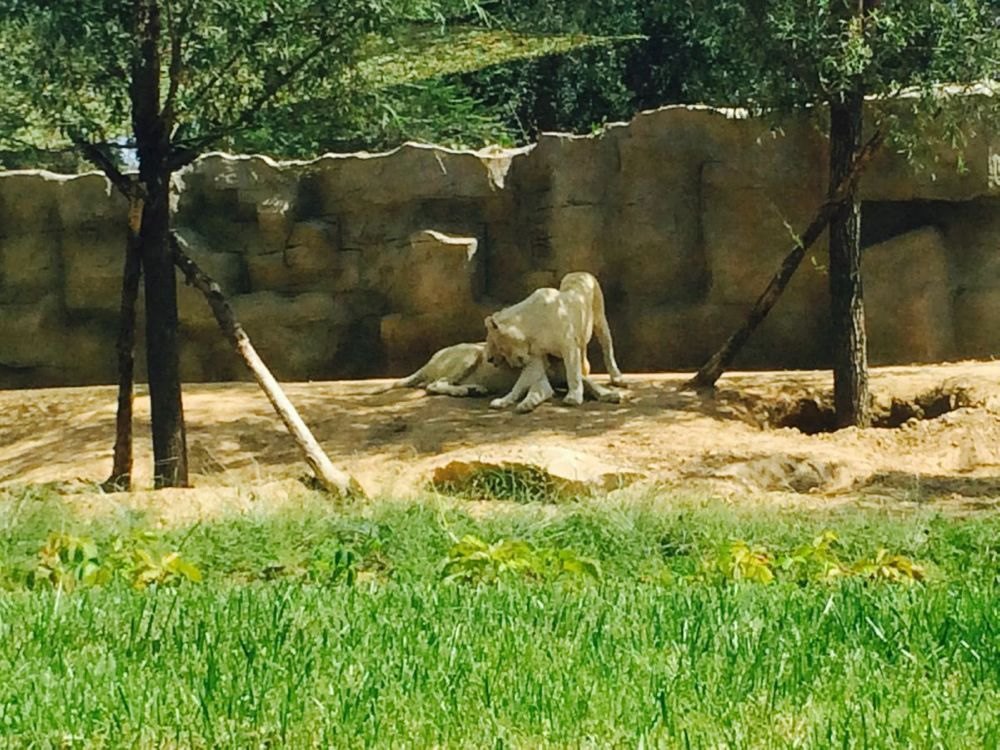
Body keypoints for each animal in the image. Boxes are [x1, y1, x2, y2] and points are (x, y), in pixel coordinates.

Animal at [378, 340, 620, 412]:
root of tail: (429, 361)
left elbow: (592, 384)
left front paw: (610, 395)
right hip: (470, 352)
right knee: (435, 385)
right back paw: (465, 390)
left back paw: (475, 389)